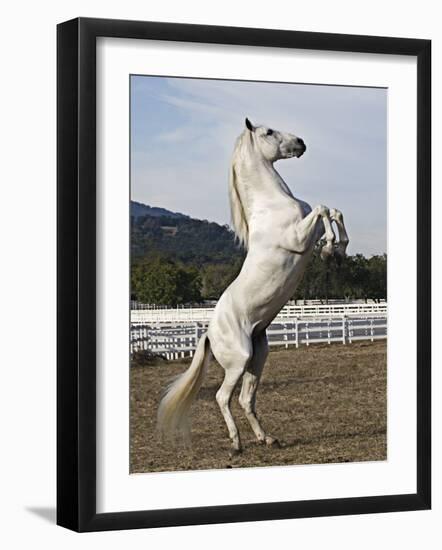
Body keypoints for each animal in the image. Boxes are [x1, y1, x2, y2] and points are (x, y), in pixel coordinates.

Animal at [158, 117, 348, 458]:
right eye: (268, 132)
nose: (301, 143)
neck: (271, 203)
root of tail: (209, 333)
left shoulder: (307, 233)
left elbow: (334, 211)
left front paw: (338, 250)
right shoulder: (299, 237)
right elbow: (323, 209)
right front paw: (330, 249)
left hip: (258, 358)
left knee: (246, 399)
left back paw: (267, 438)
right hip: (239, 360)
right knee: (222, 397)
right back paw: (236, 444)